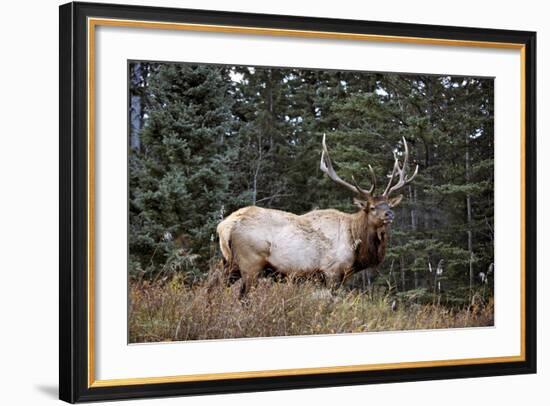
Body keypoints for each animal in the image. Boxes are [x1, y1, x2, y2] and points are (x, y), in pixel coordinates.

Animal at [218, 136, 420, 294]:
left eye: (387, 204)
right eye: (371, 207)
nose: (389, 214)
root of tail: (225, 226)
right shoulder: (332, 271)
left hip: (230, 263)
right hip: (250, 263)